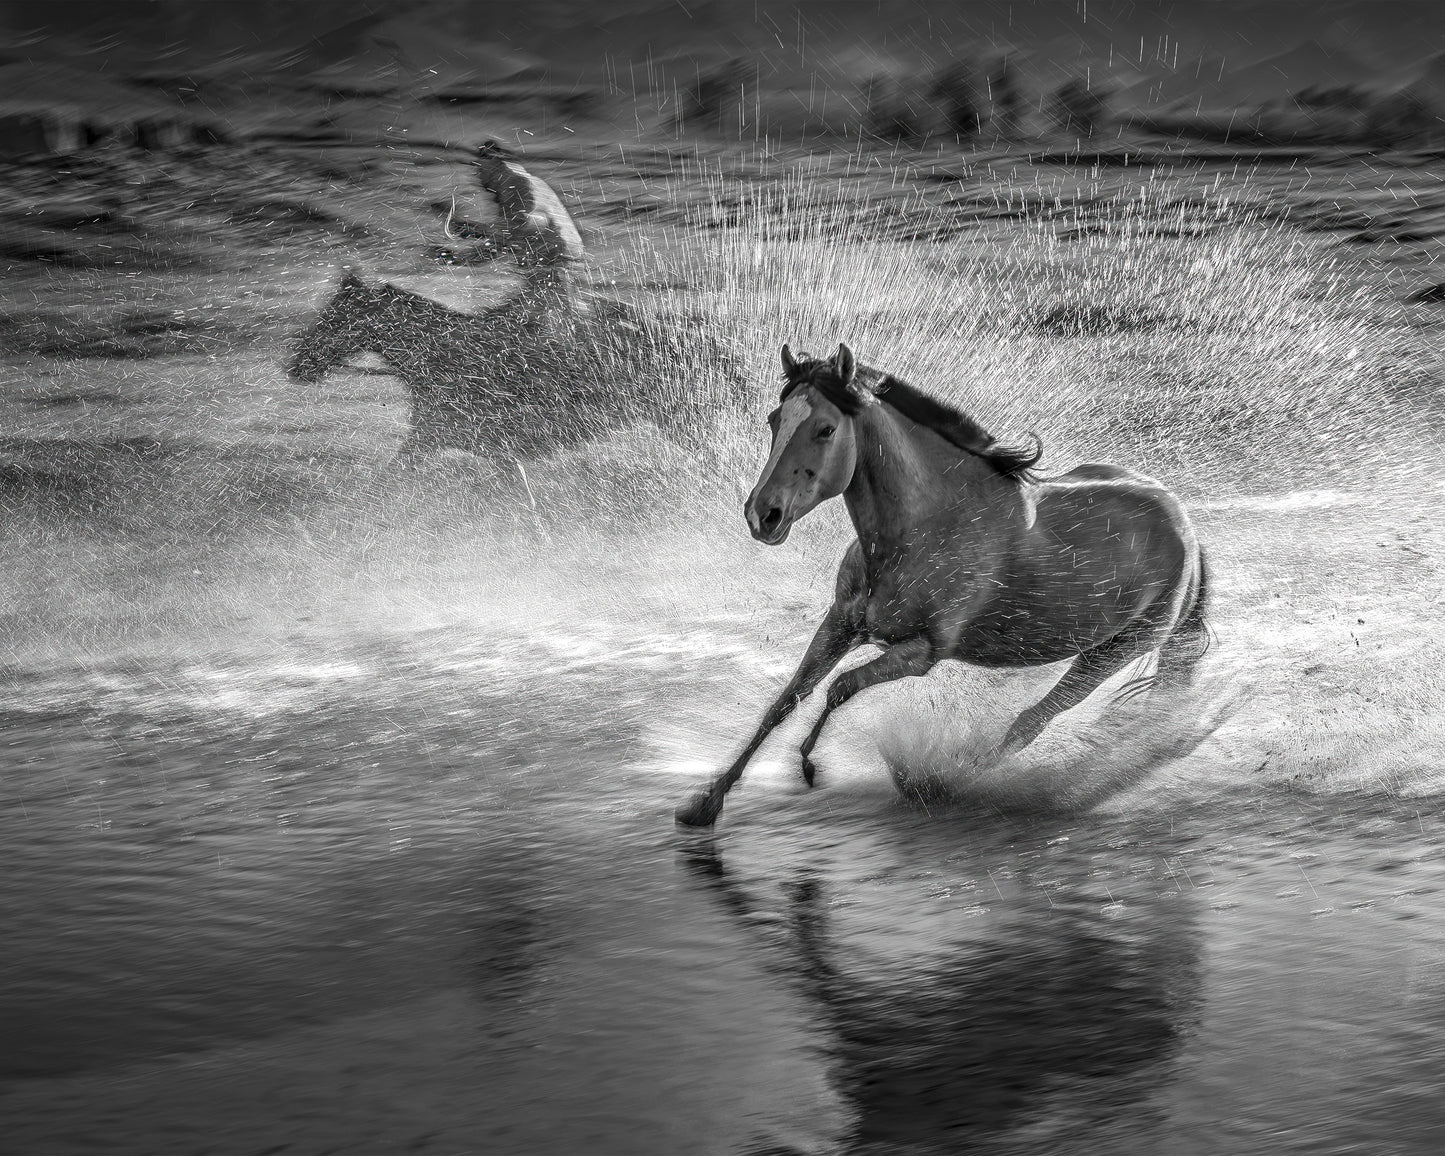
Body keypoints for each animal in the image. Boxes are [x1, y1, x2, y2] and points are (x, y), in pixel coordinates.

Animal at [674, 342, 1210, 828]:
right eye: (774, 421)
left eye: (825, 428)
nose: (762, 515)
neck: (927, 528)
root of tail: (1184, 526)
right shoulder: (841, 624)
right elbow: (785, 701)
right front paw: (706, 804)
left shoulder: (923, 652)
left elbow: (839, 689)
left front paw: (807, 765)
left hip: (1110, 653)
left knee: (1030, 723)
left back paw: (944, 783)